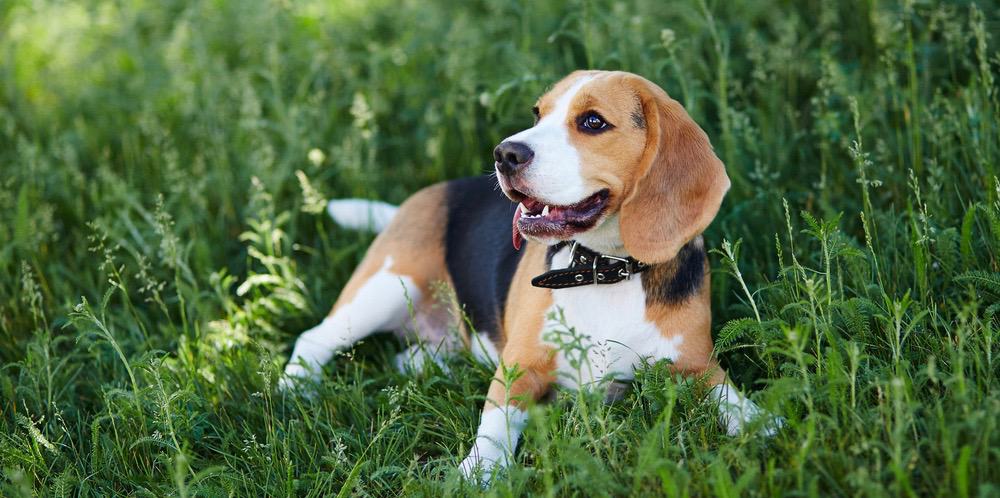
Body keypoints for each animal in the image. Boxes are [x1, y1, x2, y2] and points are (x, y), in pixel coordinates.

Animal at [282, 70, 772, 482]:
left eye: (593, 122)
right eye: (538, 113)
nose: (505, 153)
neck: (603, 271)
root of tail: (425, 195)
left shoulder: (696, 365)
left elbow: (734, 401)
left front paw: (767, 423)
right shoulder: (520, 366)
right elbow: (495, 426)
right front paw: (476, 474)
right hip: (385, 286)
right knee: (314, 337)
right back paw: (293, 389)